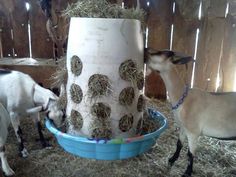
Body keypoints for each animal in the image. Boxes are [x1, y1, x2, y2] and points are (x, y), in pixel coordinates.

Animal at [146, 49, 236, 177]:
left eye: (164, 53)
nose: (145, 51)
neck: (183, 98)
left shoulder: (193, 132)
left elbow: (190, 154)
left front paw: (187, 173)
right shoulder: (183, 128)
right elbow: (179, 144)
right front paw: (171, 160)